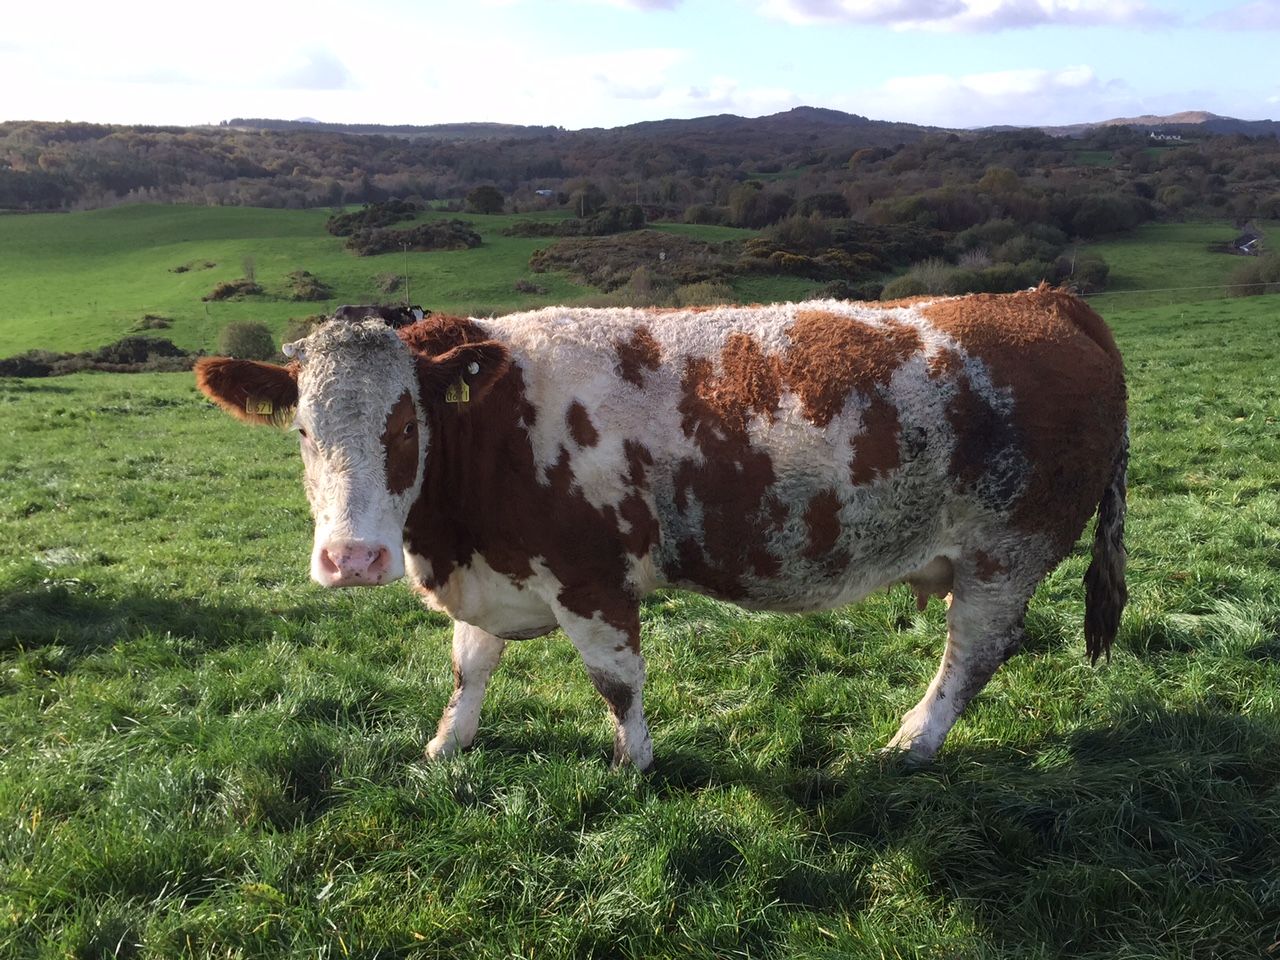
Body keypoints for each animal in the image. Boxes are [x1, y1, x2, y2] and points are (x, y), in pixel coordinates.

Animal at [194, 286, 1128, 769]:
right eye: (302, 430)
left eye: (402, 427)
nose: (351, 558)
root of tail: (1038, 299)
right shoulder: (498, 571)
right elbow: (470, 667)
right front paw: (446, 744)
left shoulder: (591, 577)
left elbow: (616, 682)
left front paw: (633, 764)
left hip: (1004, 554)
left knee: (971, 656)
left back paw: (912, 739)